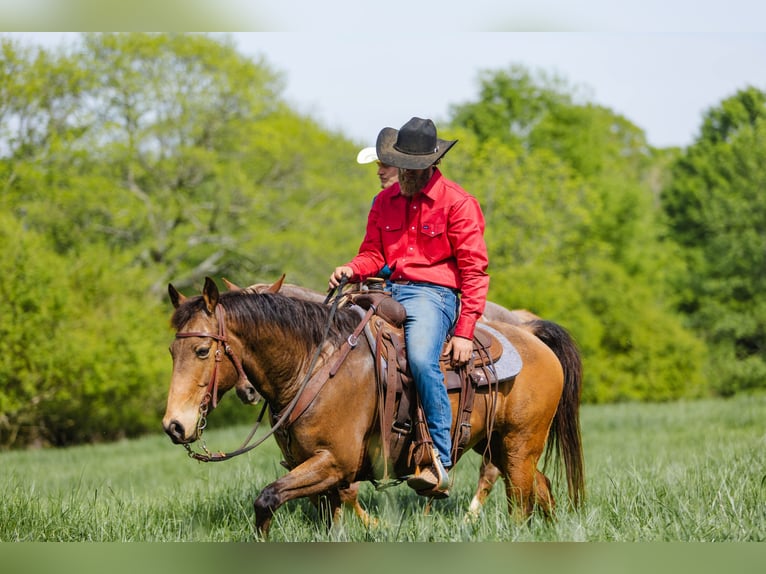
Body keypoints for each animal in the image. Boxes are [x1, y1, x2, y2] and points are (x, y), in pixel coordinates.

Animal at [163, 277, 584, 537]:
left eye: (202, 350)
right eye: (171, 350)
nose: (175, 426)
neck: (315, 362)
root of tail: (531, 334)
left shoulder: (334, 462)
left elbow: (268, 499)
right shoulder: (316, 468)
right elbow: (332, 514)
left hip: (519, 446)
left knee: (517, 498)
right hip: (500, 445)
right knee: (540, 488)